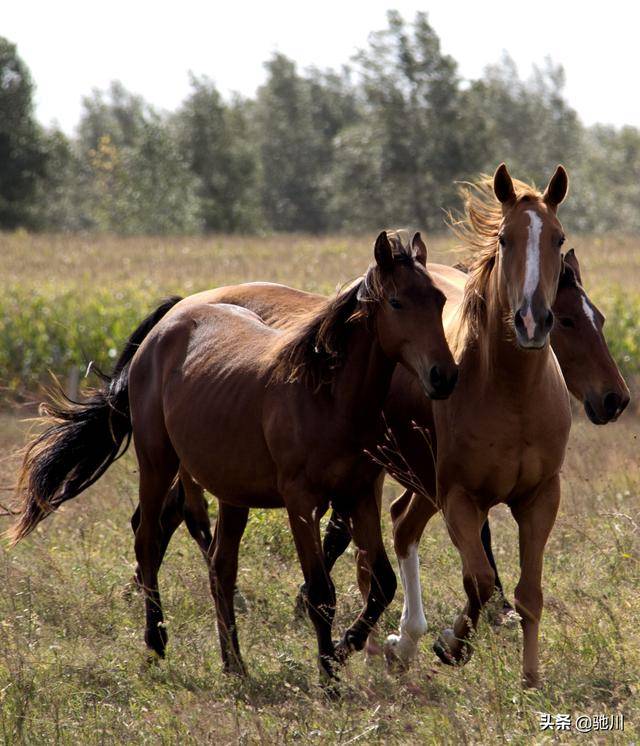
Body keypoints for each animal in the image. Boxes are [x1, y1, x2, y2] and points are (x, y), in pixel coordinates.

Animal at [11, 230, 460, 684]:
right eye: (397, 302)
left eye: (439, 299)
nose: (444, 376)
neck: (325, 396)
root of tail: (166, 325)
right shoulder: (301, 502)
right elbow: (320, 592)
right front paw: (329, 676)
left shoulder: (360, 494)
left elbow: (382, 583)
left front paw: (342, 650)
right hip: (157, 463)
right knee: (148, 541)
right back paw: (156, 643)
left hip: (231, 492)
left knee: (219, 566)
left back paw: (235, 664)